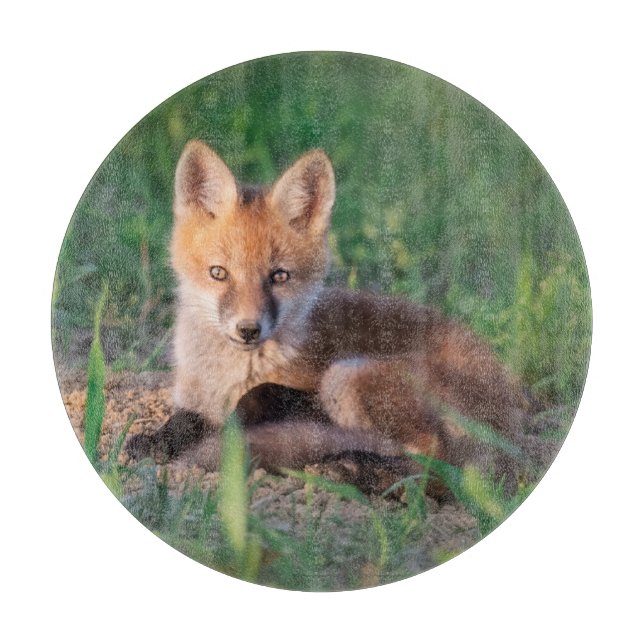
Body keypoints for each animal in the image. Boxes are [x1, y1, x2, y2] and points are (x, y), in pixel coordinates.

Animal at [126, 139, 528, 493]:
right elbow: (183, 420)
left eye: (279, 276)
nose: (248, 329)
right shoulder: (193, 399)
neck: (226, 376)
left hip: (347, 375)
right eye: (218, 273)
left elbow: (256, 397)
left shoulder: (309, 393)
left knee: (435, 464)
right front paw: (159, 440)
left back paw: (362, 473)